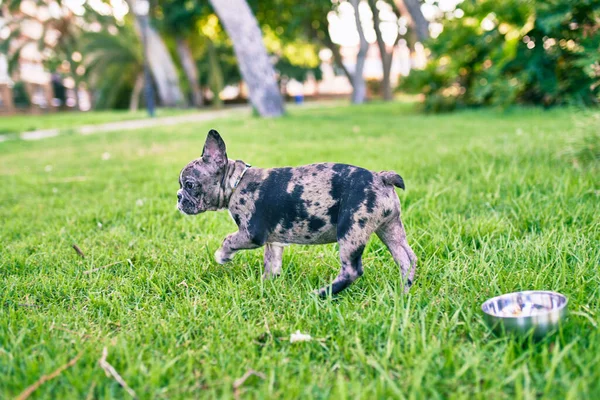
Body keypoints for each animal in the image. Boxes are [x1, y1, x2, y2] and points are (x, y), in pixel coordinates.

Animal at [177, 130, 418, 296]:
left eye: (189, 185)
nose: (178, 197)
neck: (236, 182)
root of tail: (381, 178)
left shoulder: (251, 234)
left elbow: (228, 240)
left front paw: (223, 255)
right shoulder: (273, 242)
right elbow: (271, 263)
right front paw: (266, 286)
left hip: (351, 229)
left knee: (352, 271)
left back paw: (322, 295)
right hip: (390, 228)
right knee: (407, 258)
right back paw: (402, 292)